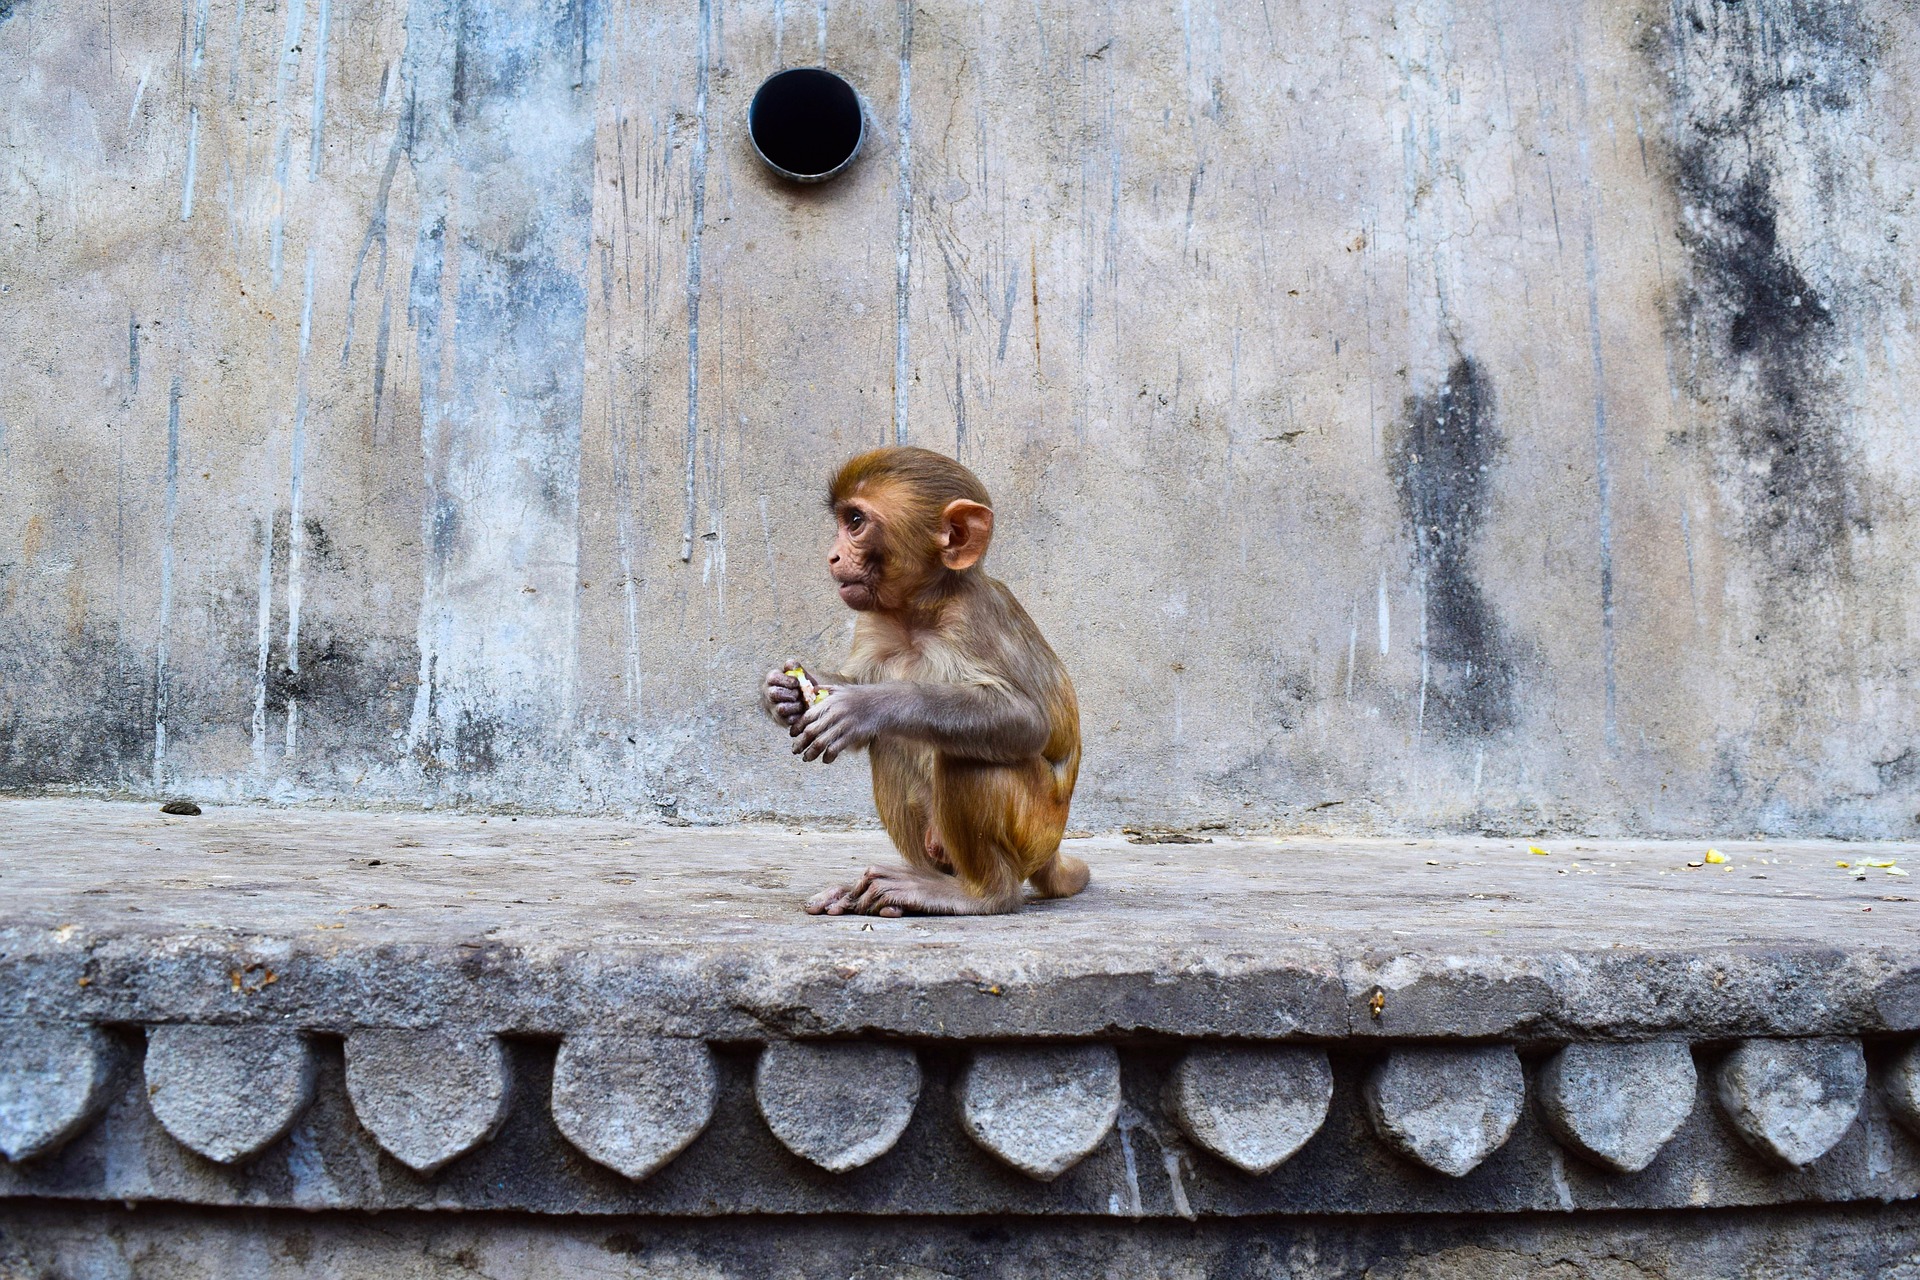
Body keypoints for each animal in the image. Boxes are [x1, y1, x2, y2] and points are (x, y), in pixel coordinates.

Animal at [768, 445, 1098, 917]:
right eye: (843, 520)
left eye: (855, 521)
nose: (831, 556)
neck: (918, 614)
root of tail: (1053, 851)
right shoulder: (873, 622)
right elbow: (850, 682)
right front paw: (784, 694)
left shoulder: (973, 618)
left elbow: (1026, 721)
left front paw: (866, 706)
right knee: (891, 743)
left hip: (1037, 829)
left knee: (969, 756)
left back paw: (978, 894)